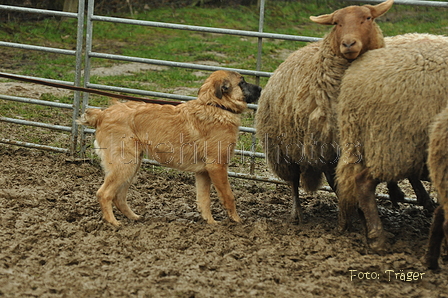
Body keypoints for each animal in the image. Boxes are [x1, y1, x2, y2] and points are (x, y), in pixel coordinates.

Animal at [76, 70, 260, 226]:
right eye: (242, 82)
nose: (260, 88)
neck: (215, 106)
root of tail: (102, 114)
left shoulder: (203, 172)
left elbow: (204, 200)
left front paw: (211, 222)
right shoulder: (217, 167)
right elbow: (229, 196)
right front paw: (236, 221)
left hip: (131, 166)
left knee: (119, 197)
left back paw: (134, 217)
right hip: (125, 165)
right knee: (104, 194)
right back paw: (113, 222)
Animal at [256, 0, 396, 224]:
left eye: (368, 18)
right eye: (337, 23)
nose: (348, 44)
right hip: (285, 149)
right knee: (294, 181)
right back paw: (297, 214)